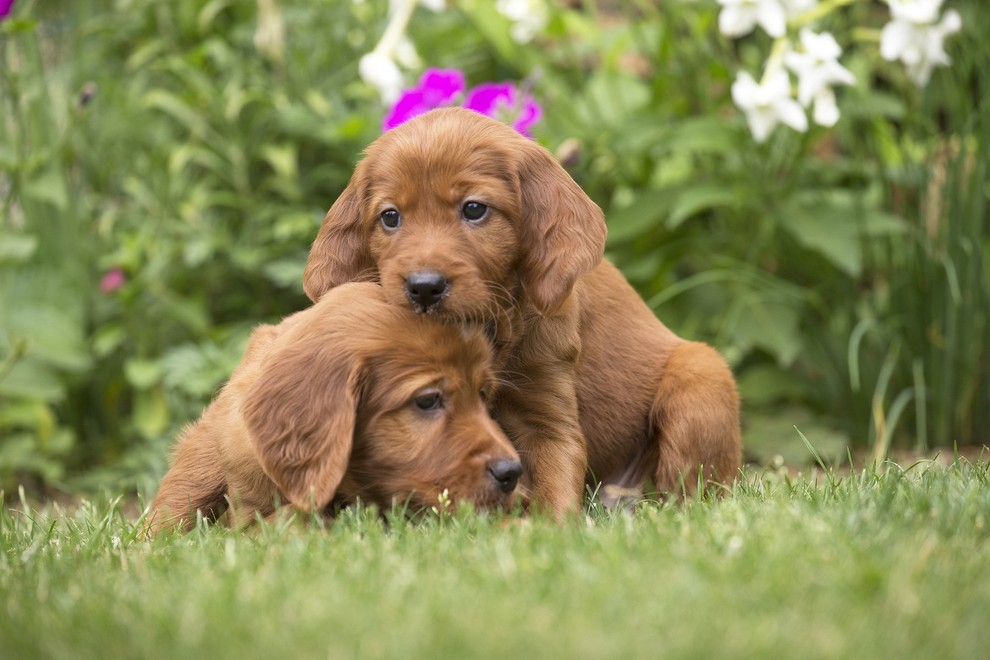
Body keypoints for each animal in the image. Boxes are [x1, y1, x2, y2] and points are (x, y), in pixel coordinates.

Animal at [306, 107, 740, 516]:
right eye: (390, 216)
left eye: (474, 209)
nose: (424, 287)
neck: (488, 328)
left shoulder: (547, 413)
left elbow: (554, 491)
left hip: (700, 377)